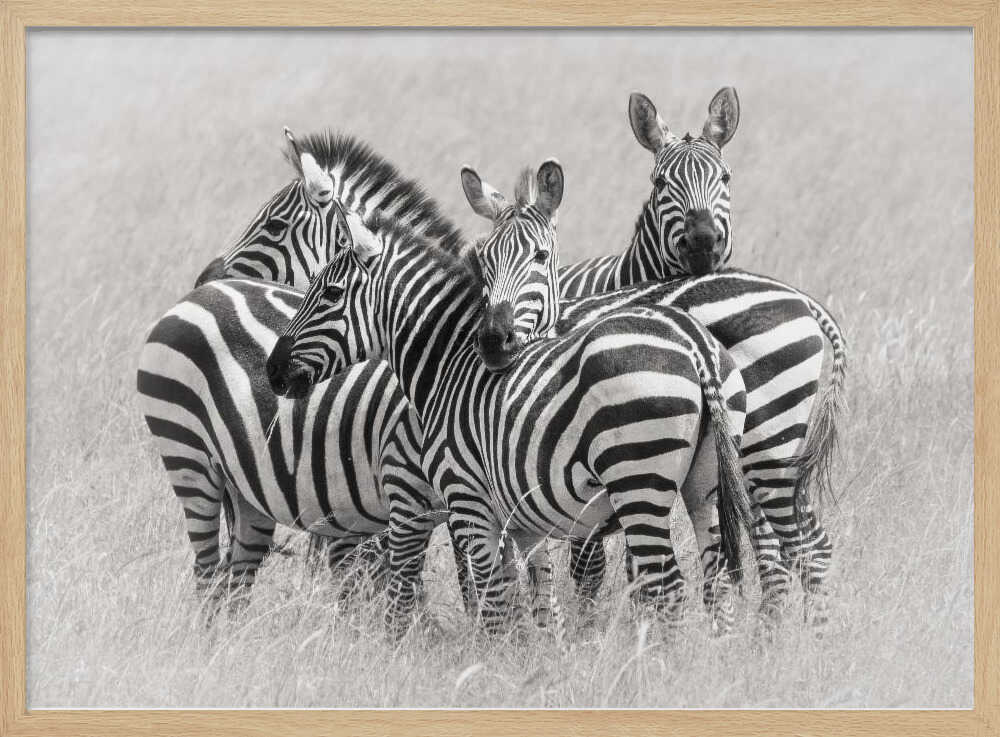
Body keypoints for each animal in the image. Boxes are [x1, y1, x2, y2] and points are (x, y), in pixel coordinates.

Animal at [266, 199, 756, 635]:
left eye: (330, 294)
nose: (272, 371)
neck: (448, 365)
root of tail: (693, 342)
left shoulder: (468, 502)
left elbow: (493, 603)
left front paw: (492, 664)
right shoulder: (522, 520)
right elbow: (537, 601)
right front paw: (536, 663)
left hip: (638, 480)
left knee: (667, 587)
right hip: (705, 487)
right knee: (715, 582)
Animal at [463, 90, 846, 621]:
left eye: (726, 178)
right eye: (661, 182)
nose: (703, 242)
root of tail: (803, 300)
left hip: (766, 443)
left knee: (788, 545)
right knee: (792, 544)